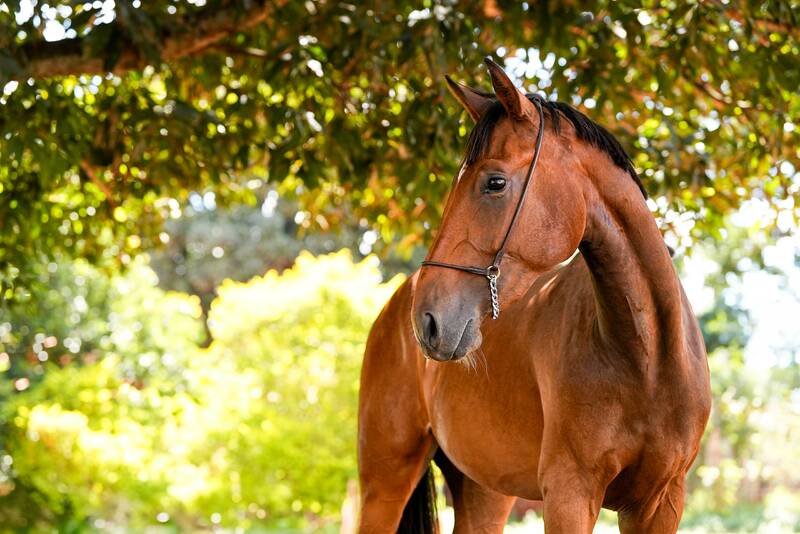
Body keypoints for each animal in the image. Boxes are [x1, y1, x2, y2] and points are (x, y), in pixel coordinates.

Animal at [357, 58, 711, 533]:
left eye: (494, 183)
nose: (427, 320)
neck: (647, 360)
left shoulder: (661, 502)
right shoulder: (569, 494)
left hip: (484, 491)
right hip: (385, 483)